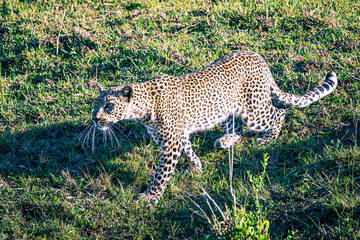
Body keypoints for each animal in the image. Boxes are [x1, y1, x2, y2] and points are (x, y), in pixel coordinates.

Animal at [92, 50, 338, 202]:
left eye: (109, 105)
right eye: (95, 104)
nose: (94, 119)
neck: (143, 109)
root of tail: (258, 57)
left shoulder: (170, 143)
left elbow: (161, 173)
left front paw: (150, 197)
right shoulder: (179, 135)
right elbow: (189, 150)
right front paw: (198, 169)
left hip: (254, 111)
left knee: (279, 113)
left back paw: (267, 139)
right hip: (228, 107)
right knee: (236, 128)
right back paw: (225, 141)